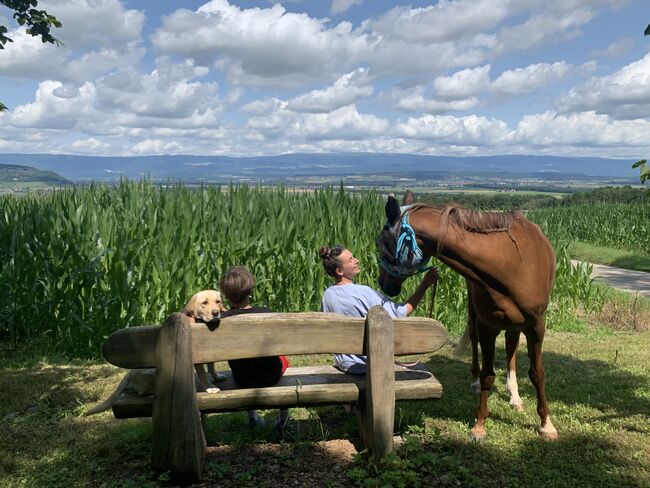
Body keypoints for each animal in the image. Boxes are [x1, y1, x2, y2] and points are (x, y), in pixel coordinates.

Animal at [374, 194, 556, 442]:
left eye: (384, 243)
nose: (384, 285)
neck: (513, 264)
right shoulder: (488, 326)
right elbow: (488, 375)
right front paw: (479, 425)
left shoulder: (536, 327)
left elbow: (538, 374)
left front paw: (546, 424)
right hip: (475, 313)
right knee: (476, 338)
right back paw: (478, 381)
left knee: (511, 345)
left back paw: (515, 396)